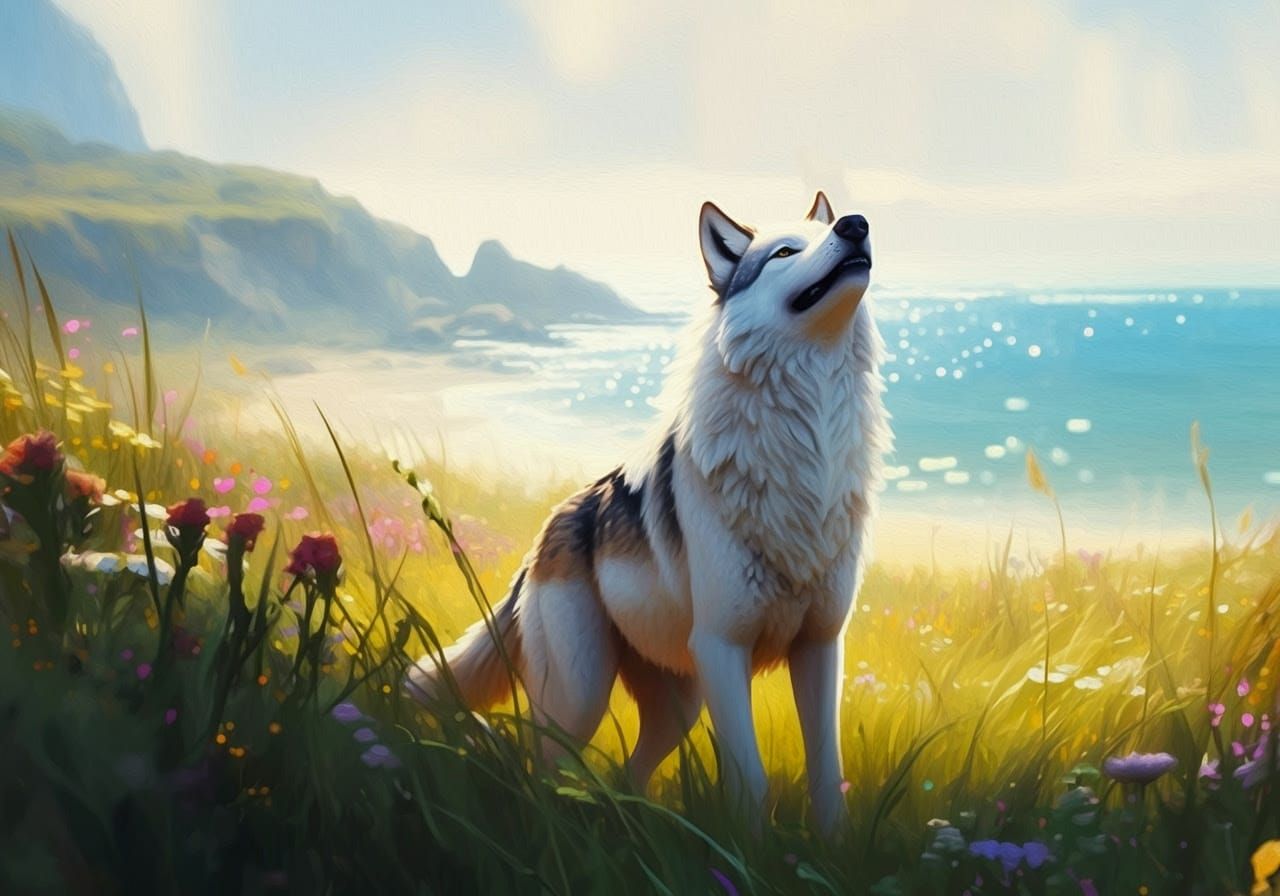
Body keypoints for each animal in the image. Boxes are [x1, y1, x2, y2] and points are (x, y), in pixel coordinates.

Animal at [406, 192, 891, 834]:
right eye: (786, 252)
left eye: (828, 231)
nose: (857, 225)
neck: (803, 448)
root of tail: (548, 530)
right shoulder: (723, 647)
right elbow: (751, 779)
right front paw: (750, 848)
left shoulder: (820, 646)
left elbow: (827, 778)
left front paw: (829, 847)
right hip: (581, 698)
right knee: (544, 768)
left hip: (678, 704)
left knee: (626, 771)